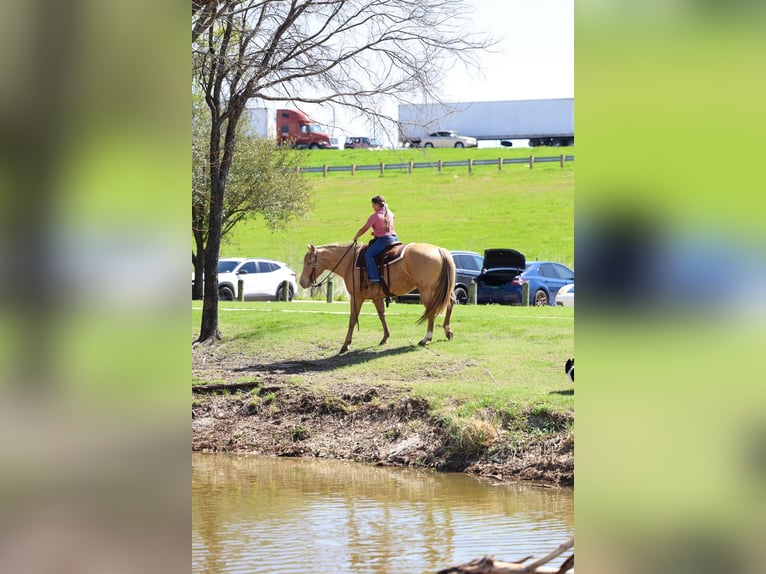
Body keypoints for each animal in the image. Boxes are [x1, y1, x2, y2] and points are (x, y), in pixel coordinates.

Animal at [300, 242, 456, 354]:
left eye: (308, 263)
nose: (301, 282)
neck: (349, 262)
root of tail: (439, 250)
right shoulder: (376, 297)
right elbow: (381, 315)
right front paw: (385, 337)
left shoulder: (356, 297)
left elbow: (352, 319)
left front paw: (345, 345)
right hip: (443, 290)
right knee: (450, 304)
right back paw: (447, 331)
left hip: (427, 291)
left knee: (432, 311)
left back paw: (426, 338)